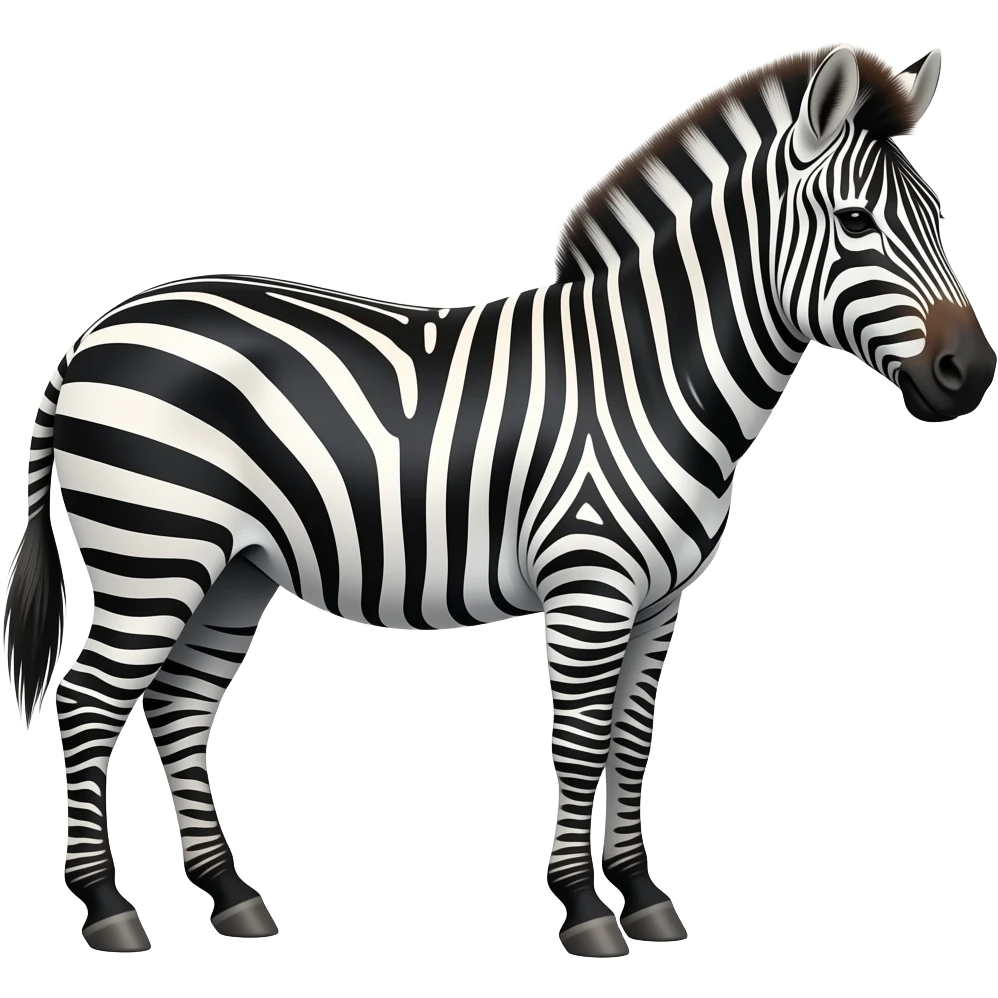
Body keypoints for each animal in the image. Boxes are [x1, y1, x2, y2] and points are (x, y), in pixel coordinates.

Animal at [3, 42, 993, 958]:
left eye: (939, 217)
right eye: (856, 222)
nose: (970, 373)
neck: (651, 376)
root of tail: (92, 333)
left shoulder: (660, 602)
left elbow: (631, 742)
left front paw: (644, 898)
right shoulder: (589, 589)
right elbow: (582, 740)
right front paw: (588, 912)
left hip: (231, 569)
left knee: (179, 706)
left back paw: (232, 897)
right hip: (153, 551)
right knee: (89, 703)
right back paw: (109, 910)